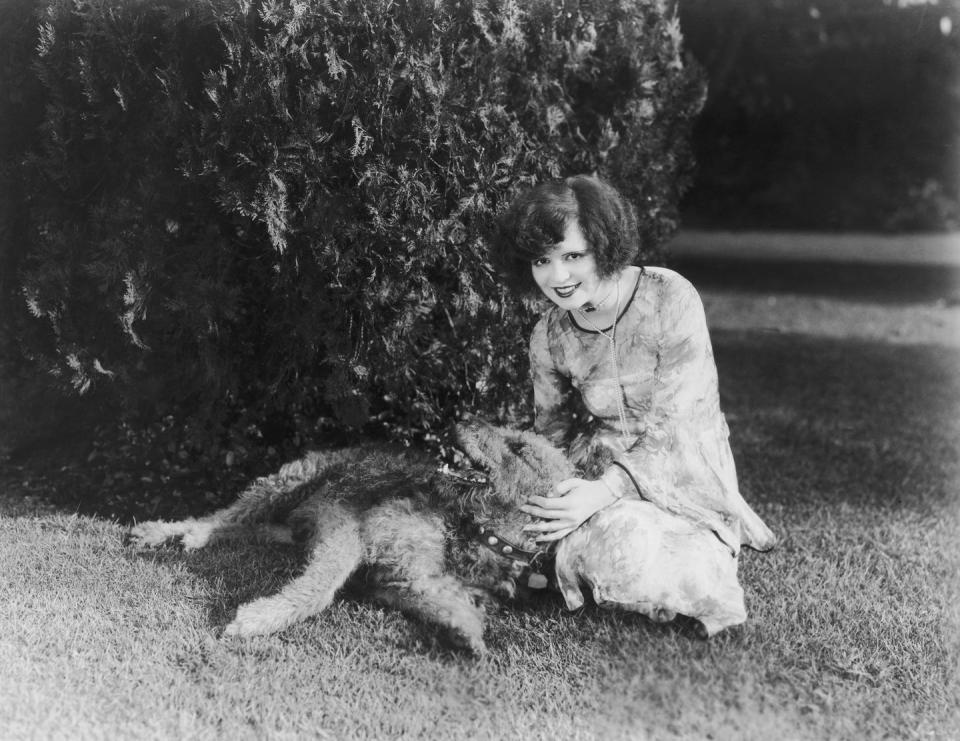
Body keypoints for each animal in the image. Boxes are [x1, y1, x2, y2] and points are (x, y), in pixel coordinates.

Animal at [127, 420, 748, 652]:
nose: (460, 420)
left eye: (517, 446)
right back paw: (168, 534)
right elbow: (319, 588)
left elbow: (444, 599)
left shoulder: (403, 579)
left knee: (252, 529)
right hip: (290, 479)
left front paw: (467, 634)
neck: (474, 530)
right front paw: (256, 620)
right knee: (221, 516)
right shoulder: (347, 527)